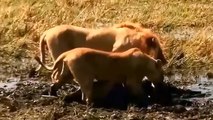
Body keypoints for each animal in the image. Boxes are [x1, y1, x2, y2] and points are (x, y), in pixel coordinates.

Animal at [35, 47, 165, 105]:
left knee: (59, 82)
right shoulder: (133, 77)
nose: (161, 85)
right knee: (86, 90)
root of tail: (67, 53)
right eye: (162, 75)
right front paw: (148, 98)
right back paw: (92, 103)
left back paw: (53, 93)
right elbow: (137, 88)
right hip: (84, 72)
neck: (147, 63)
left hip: (68, 71)